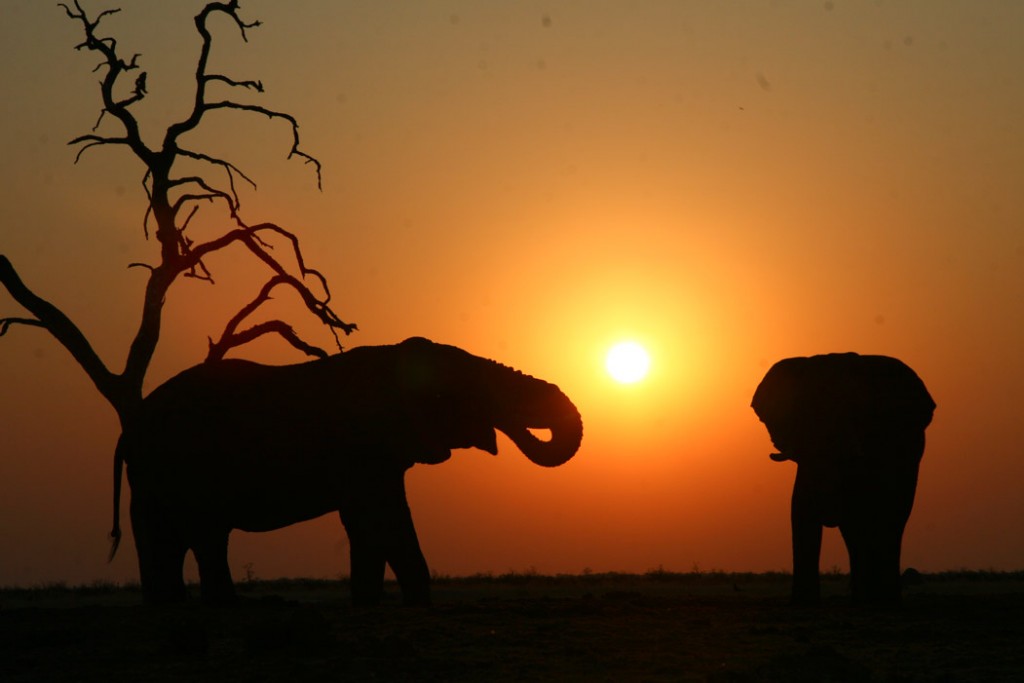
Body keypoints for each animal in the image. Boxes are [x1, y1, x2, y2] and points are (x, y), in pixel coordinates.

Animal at [112, 335, 585, 602]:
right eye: (473, 390)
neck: (394, 362)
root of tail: (130, 429)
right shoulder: (365, 451)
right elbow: (378, 520)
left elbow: (378, 523)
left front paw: (381, 602)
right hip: (180, 467)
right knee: (202, 537)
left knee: (172, 542)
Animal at [753, 352, 937, 602]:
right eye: (801, 412)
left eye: (854, 410)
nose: (829, 514)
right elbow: (801, 508)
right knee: (855, 530)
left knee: (891, 519)